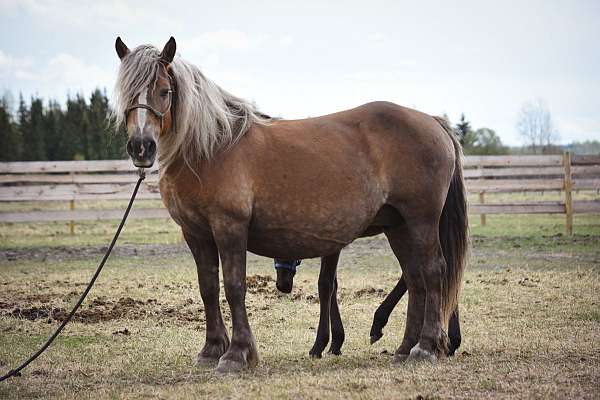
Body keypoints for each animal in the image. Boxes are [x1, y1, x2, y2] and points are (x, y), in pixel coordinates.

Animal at [112, 36, 468, 372]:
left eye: (163, 91)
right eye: (125, 92)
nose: (141, 147)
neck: (211, 149)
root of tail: (432, 120)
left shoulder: (229, 227)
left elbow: (234, 286)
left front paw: (237, 354)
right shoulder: (196, 234)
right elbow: (208, 288)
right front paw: (211, 350)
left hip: (420, 220)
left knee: (433, 271)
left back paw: (425, 347)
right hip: (398, 226)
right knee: (415, 278)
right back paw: (406, 348)